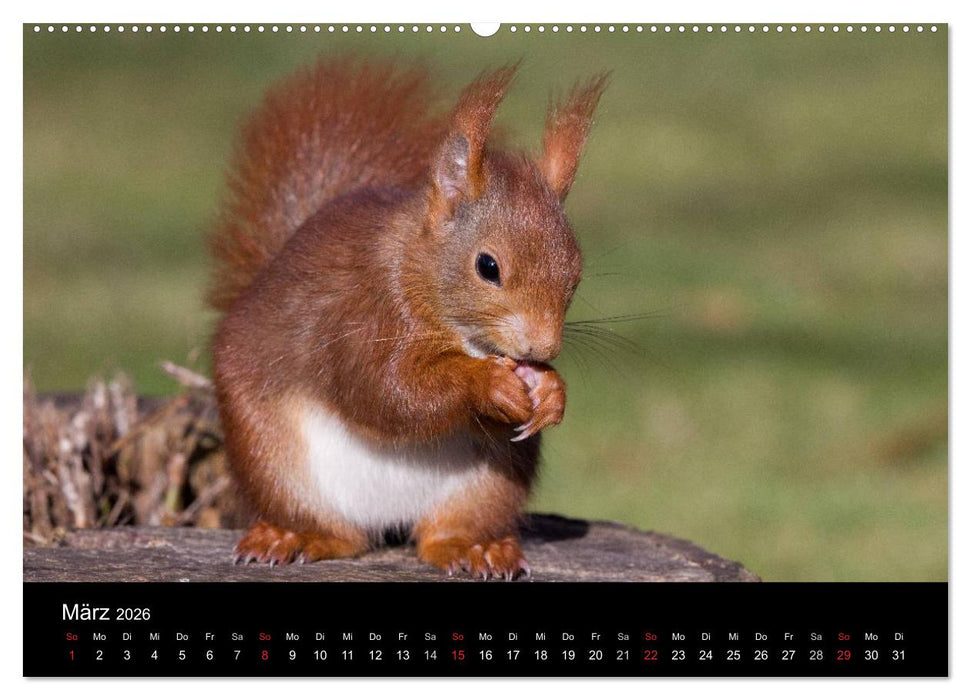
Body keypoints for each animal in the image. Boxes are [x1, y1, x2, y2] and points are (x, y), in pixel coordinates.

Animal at [208, 58, 608, 580]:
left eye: (576, 274)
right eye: (488, 266)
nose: (542, 348)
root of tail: (387, 517)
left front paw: (551, 392)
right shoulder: (362, 313)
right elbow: (387, 390)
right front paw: (489, 385)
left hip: (491, 483)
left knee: (445, 532)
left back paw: (474, 548)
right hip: (270, 456)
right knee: (332, 529)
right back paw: (296, 536)